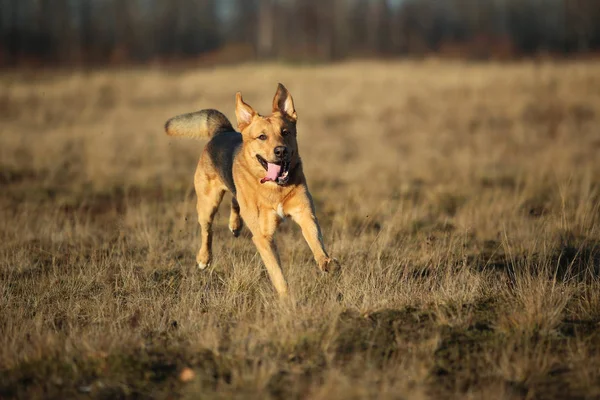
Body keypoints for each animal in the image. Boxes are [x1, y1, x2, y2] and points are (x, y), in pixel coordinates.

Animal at [164, 84, 332, 296]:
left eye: (285, 132)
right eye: (262, 137)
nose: (281, 151)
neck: (274, 187)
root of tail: (222, 131)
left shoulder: (305, 213)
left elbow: (316, 241)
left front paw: (326, 262)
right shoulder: (263, 237)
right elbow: (277, 272)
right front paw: (287, 297)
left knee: (235, 201)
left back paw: (235, 225)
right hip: (207, 202)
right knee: (207, 229)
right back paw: (204, 258)